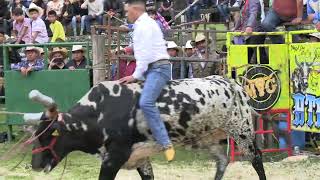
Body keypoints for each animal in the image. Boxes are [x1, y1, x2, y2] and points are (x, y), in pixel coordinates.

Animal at [24, 75, 264, 180]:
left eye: (48, 136)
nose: (35, 165)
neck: (101, 112)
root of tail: (232, 83)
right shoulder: (139, 158)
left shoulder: (114, 158)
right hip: (209, 138)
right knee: (222, 161)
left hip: (242, 132)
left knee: (257, 160)